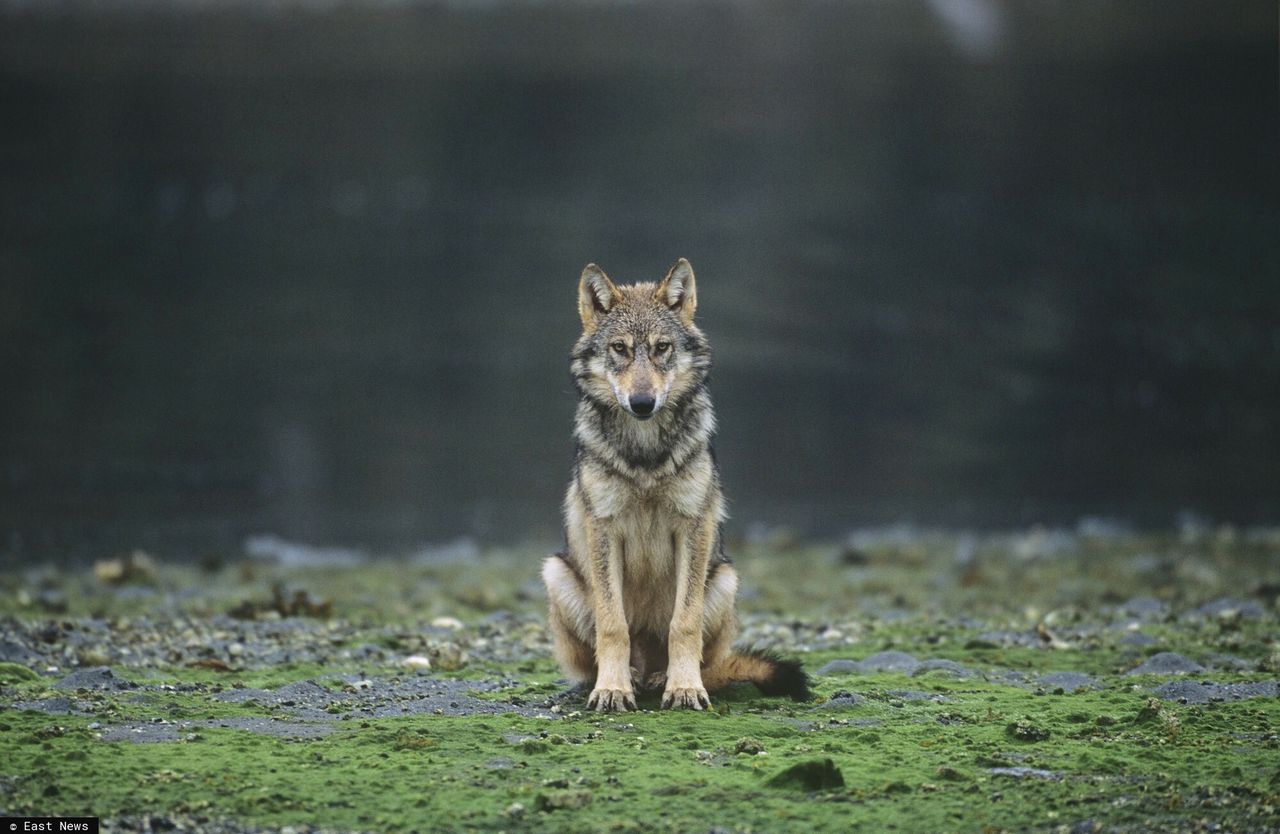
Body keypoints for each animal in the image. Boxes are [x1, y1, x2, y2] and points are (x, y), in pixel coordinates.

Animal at [540, 255, 808, 711]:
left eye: (661, 348)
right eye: (620, 349)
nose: (642, 403)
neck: (646, 456)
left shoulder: (692, 527)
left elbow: (684, 624)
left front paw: (685, 687)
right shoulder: (603, 529)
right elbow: (613, 626)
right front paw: (611, 689)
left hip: (725, 578)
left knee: (699, 656)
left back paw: (664, 678)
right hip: (557, 572)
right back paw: (630, 678)